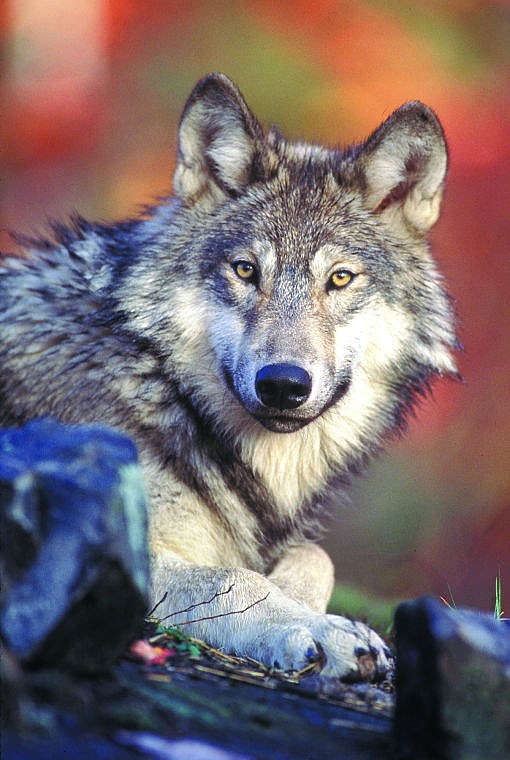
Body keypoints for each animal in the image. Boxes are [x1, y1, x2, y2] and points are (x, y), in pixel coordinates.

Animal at [0, 73, 457, 680]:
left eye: (340, 278)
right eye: (246, 270)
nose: (283, 384)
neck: (161, 386)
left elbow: (316, 555)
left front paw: (303, 604)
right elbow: (234, 579)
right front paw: (319, 629)